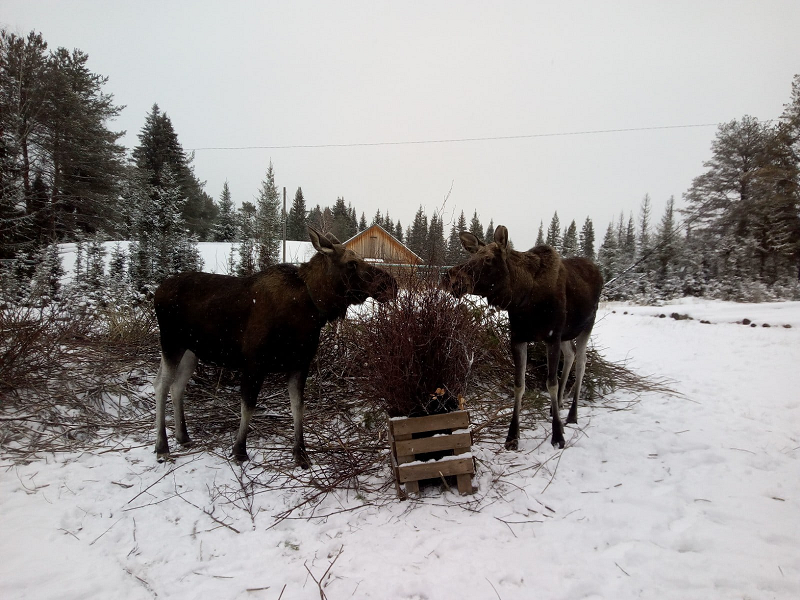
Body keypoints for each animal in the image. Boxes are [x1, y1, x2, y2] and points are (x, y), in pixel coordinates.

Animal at [152, 227, 396, 466]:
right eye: (351, 263)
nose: (390, 283)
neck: (313, 309)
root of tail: (157, 291)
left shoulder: (300, 363)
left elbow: (298, 406)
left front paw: (301, 453)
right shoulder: (254, 362)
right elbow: (248, 405)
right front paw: (239, 450)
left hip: (191, 350)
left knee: (177, 386)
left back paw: (182, 436)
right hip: (170, 342)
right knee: (161, 385)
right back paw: (162, 446)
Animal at [444, 226, 600, 450]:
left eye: (489, 259)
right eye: (471, 256)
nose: (450, 278)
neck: (523, 297)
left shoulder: (552, 337)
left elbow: (550, 383)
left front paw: (557, 435)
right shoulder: (518, 337)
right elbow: (519, 385)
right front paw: (512, 436)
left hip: (587, 325)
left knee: (581, 363)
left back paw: (571, 415)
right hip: (567, 334)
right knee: (570, 355)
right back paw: (558, 407)